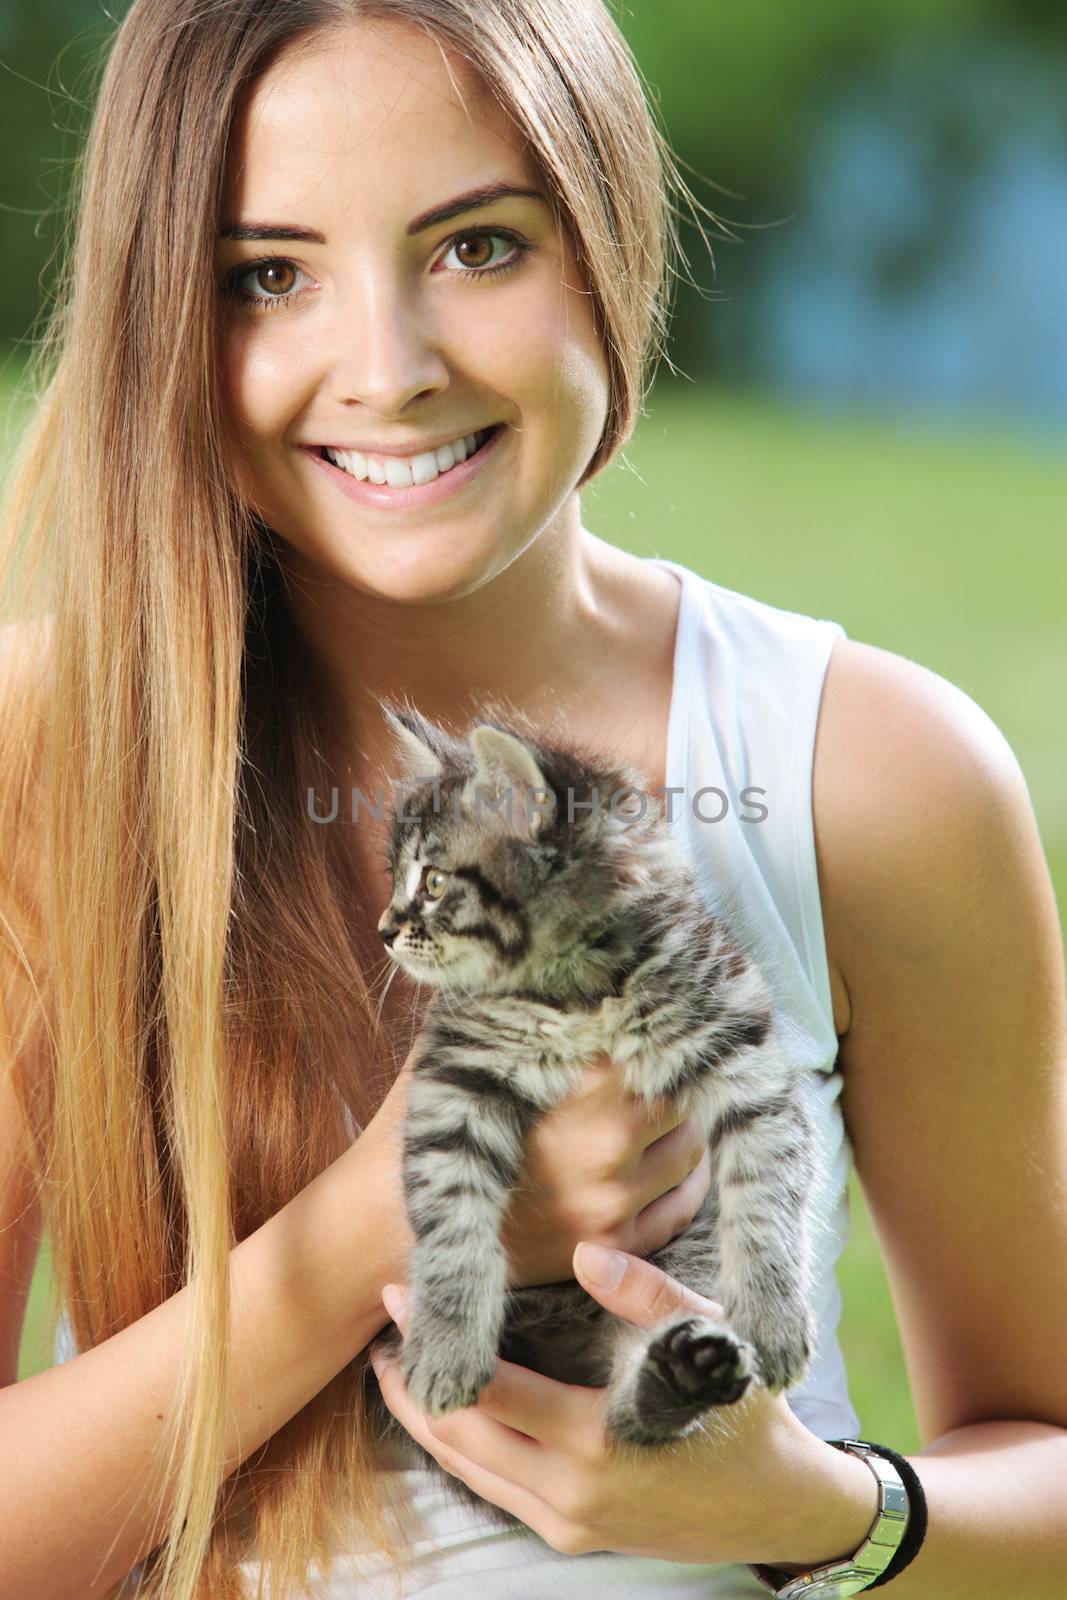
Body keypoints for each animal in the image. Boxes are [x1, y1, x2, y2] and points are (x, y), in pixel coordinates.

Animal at [369, 713, 819, 1472]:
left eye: (431, 881)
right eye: (398, 880)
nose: (383, 930)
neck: (578, 987)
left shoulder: (743, 1056)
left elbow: (765, 1201)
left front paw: (772, 1317)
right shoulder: (456, 1079)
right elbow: (453, 1223)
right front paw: (449, 1342)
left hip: (686, 1260)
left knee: (627, 1413)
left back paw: (684, 1373)